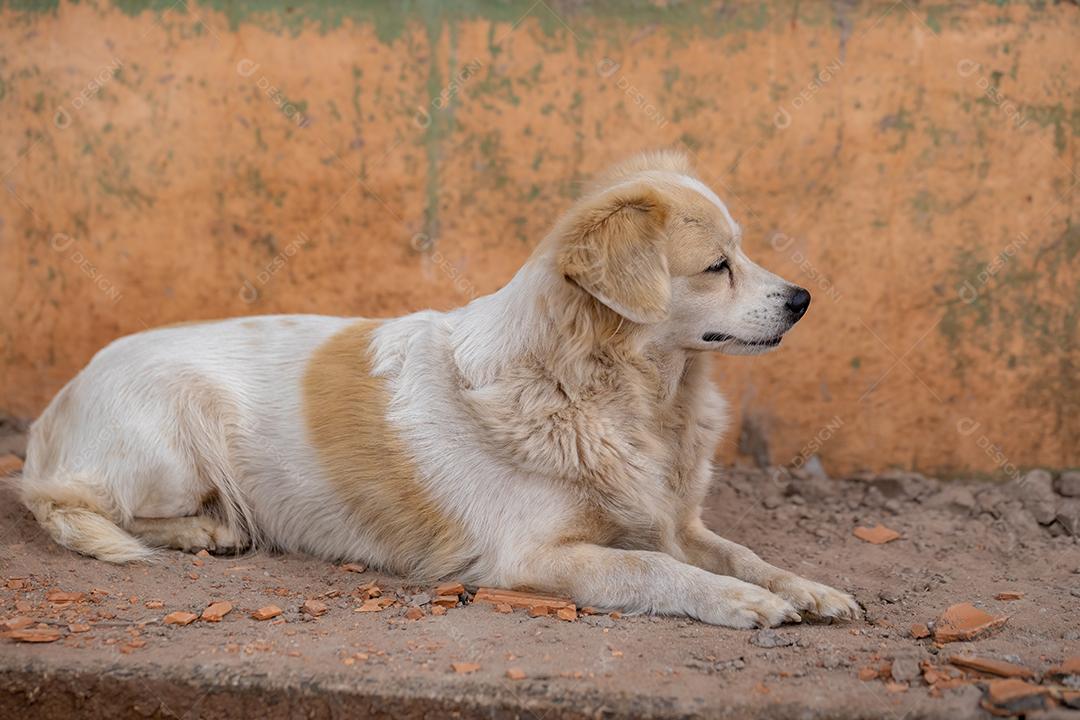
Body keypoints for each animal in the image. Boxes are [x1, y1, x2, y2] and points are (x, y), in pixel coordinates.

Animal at [19, 151, 859, 626]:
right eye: (717, 265)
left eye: (744, 254)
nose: (804, 299)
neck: (620, 397)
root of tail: (53, 409)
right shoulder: (530, 555)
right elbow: (657, 570)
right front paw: (742, 603)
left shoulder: (676, 520)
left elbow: (741, 551)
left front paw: (806, 588)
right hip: (175, 438)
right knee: (77, 504)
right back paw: (206, 531)